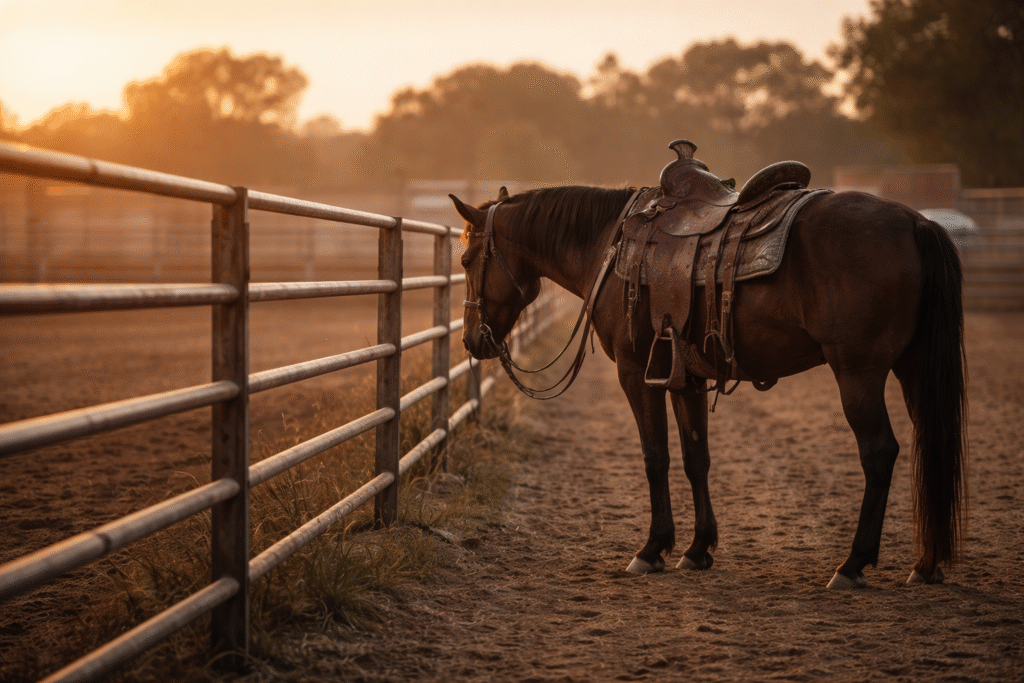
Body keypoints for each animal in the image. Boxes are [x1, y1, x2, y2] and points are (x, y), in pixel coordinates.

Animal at [449, 182, 966, 589]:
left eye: (467, 258)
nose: (473, 340)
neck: (609, 247)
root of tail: (916, 222)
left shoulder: (635, 373)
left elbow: (655, 457)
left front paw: (651, 549)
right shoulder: (687, 380)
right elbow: (697, 459)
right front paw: (697, 550)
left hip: (858, 373)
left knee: (879, 452)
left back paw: (852, 564)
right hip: (910, 370)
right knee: (928, 444)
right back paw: (925, 565)